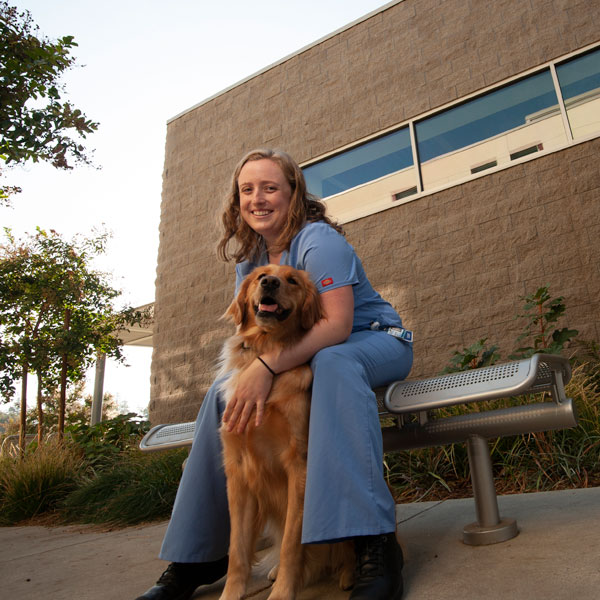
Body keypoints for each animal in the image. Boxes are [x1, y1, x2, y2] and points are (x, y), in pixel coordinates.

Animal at [218, 264, 354, 600]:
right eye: (259, 276)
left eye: (292, 280)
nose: (270, 282)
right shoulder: (237, 471)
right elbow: (237, 549)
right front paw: (231, 593)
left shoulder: (299, 465)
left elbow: (293, 543)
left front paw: (282, 592)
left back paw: (349, 573)